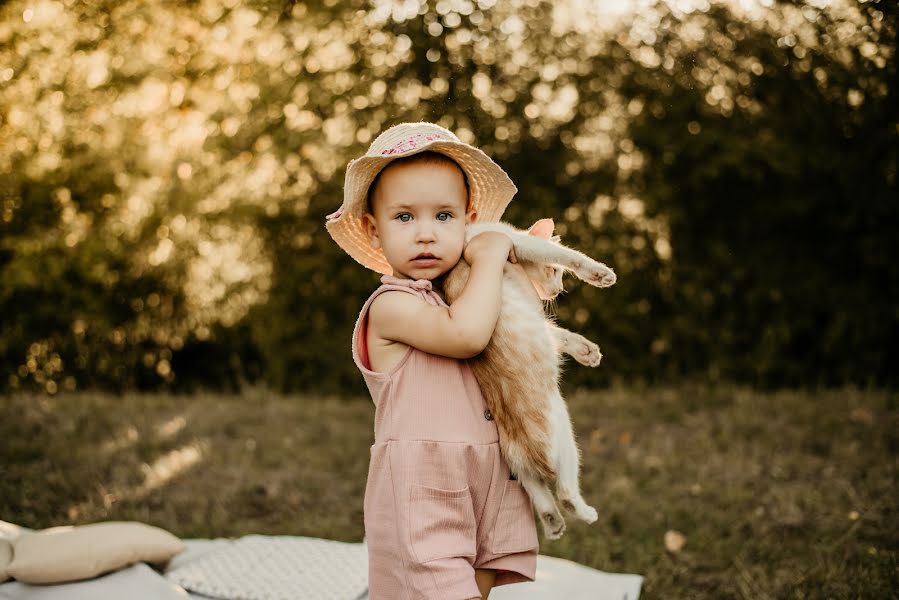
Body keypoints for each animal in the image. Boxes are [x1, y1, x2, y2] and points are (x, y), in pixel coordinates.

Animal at [442, 219, 616, 540]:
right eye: (555, 273)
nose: (558, 290)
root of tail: (526, 447)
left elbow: (559, 334)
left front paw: (586, 351)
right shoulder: (517, 242)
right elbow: (567, 254)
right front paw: (599, 274)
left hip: (514, 460)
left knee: (541, 494)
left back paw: (554, 525)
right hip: (566, 436)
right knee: (565, 493)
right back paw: (585, 513)